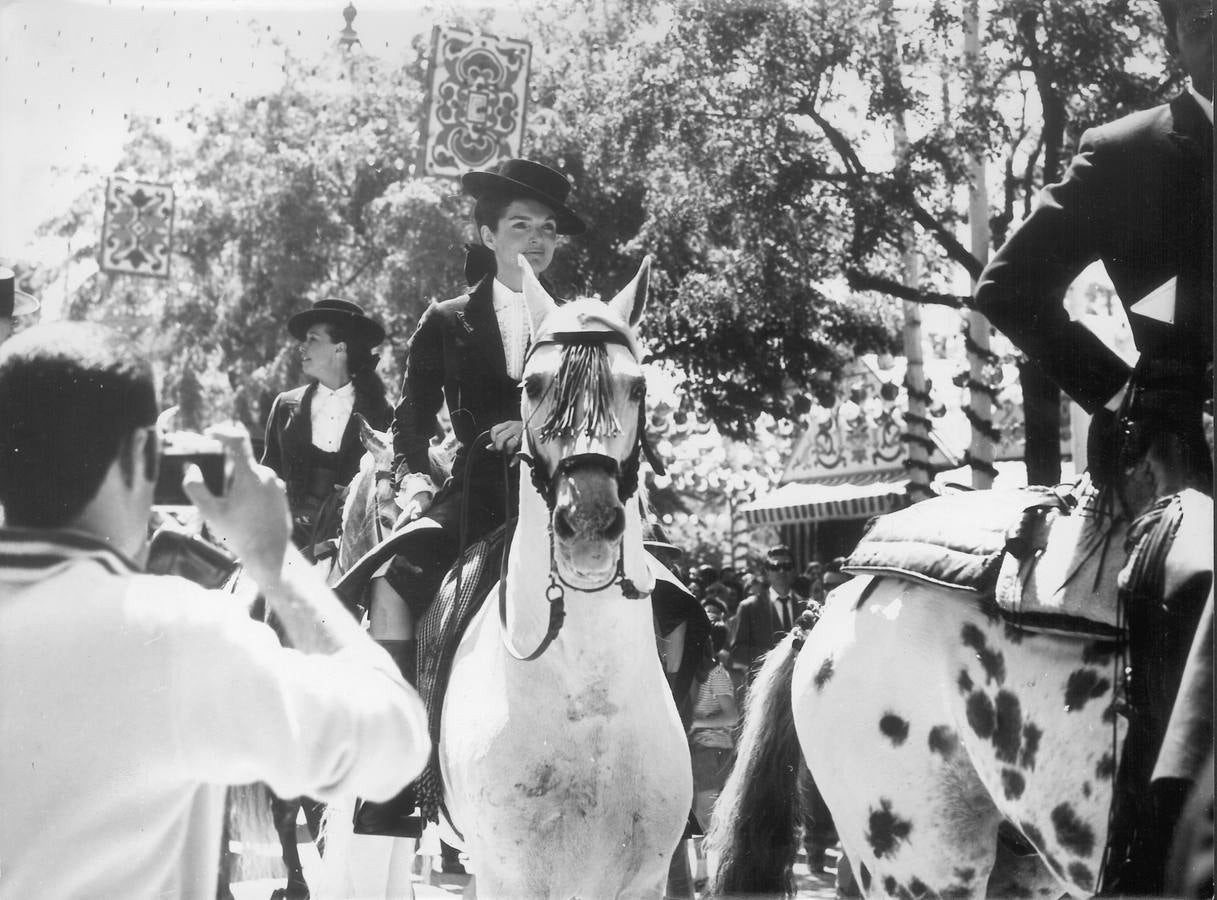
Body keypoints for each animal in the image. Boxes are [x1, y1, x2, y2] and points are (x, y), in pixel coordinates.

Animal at [318, 255, 691, 900]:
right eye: (533, 387)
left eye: (639, 387)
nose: (587, 521)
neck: (587, 695)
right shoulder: (506, 873)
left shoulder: (644, 878)